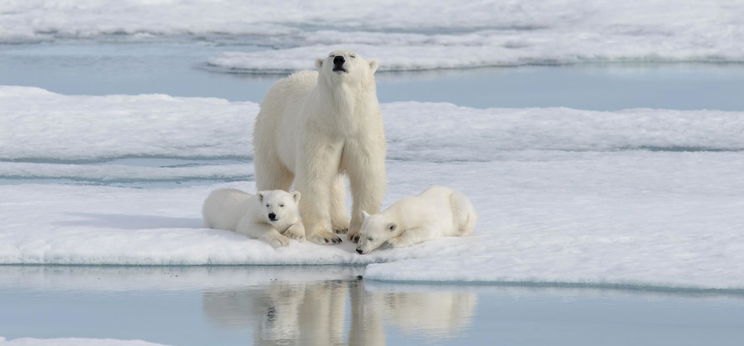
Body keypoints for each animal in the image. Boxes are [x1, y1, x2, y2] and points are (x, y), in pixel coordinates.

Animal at [253, 48, 386, 245]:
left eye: (353, 55)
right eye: (331, 55)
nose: (339, 59)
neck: (342, 119)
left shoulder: (362, 132)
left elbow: (366, 176)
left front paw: (357, 233)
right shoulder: (320, 131)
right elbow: (315, 176)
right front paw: (325, 235)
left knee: (335, 185)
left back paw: (340, 223)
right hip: (271, 131)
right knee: (273, 173)